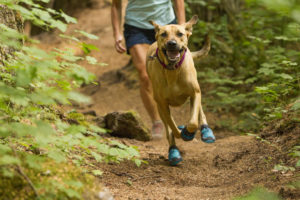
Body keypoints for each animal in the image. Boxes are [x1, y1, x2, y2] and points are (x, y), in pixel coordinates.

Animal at [146, 15, 214, 166]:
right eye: (163, 34)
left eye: (180, 34)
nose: (171, 43)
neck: (173, 70)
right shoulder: (162, 105)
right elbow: (172, 128)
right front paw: (182, 132)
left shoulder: (194, 93)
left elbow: (193, 122)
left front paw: (188, 132)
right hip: (160, 107)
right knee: (168, 128)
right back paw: (174, 151)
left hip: (196, 90)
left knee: (200, 111)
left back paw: (206, 131)